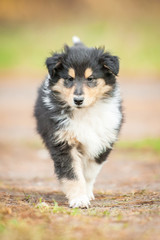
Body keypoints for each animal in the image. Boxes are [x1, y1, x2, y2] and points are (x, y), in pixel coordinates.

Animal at [34, 36, 123, 207]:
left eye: (91, 78)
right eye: (69, 78)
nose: (78, 100)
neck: (84, 112)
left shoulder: (103, 141)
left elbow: (89, 173)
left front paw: (86, 194)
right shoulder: (63, 142)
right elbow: (72, 174)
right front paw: (79, 200)